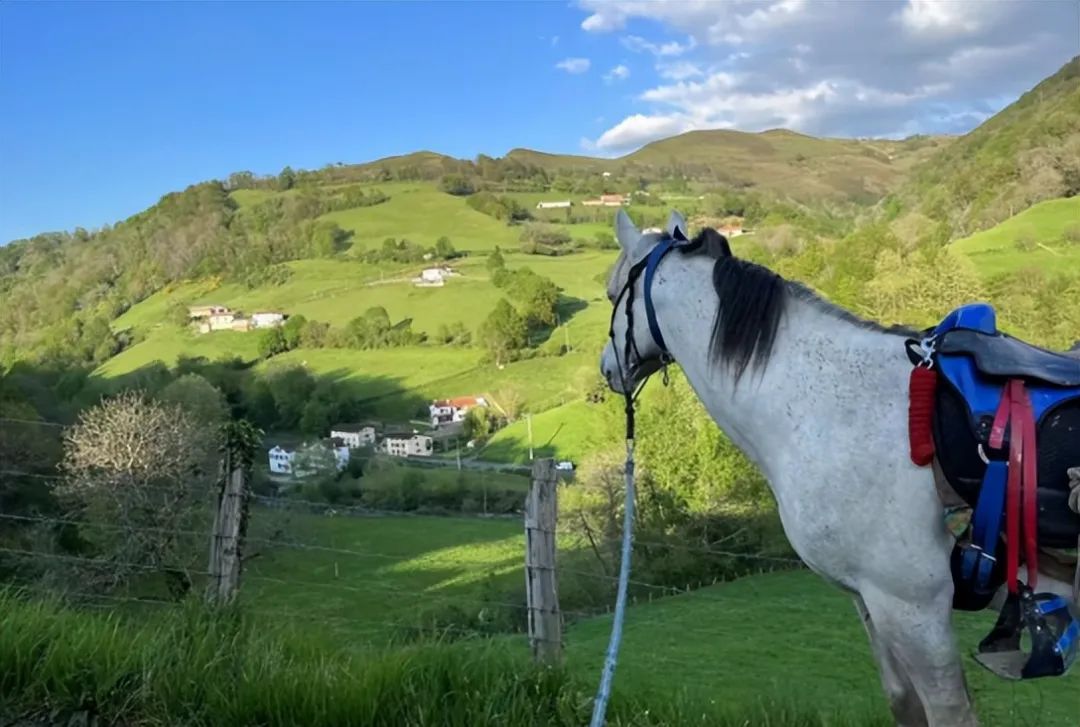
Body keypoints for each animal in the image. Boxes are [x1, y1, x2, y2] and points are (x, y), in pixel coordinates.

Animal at [600, 208, 1080, 725]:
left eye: (611, 293)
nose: (608, 369)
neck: (830, 409)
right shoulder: (870, 601)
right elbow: (903, 703)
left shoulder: (913, 606)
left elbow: (947, 711)